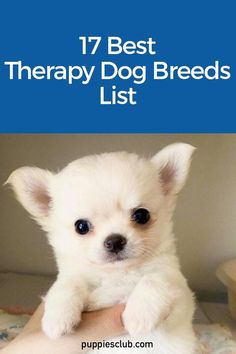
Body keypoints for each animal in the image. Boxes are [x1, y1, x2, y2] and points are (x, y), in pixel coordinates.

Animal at [6, 142, 196, 352]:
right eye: (81, 226)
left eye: (141, 215)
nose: (115, 241)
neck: (117, 275)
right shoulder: (74, 275)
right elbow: (66, 284)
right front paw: (57, 317)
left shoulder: (178, 290)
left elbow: (155, 279)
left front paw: (138, 316)